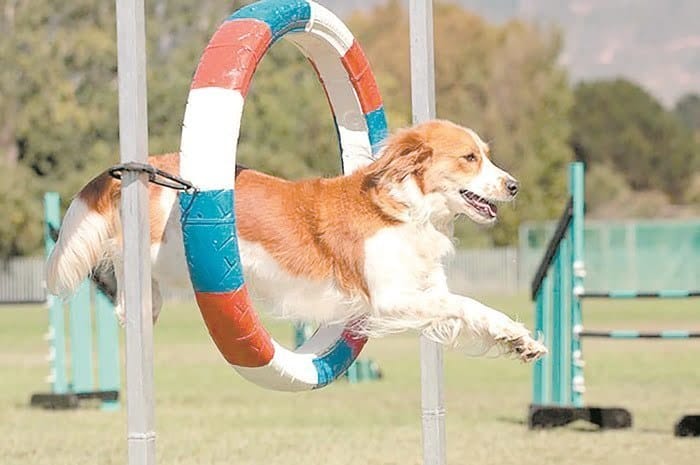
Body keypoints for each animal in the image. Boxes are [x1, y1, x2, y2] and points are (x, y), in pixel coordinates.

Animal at [47, 118, 548, 360]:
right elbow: (460, 303)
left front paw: (517, 339)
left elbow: (472, 309)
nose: (514, 186)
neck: (406, 209)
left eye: (486, 154)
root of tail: (149, 163)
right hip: (156, 253)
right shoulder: (389, 299)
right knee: (125, 283)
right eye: (469, 158)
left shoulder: (423, 290)